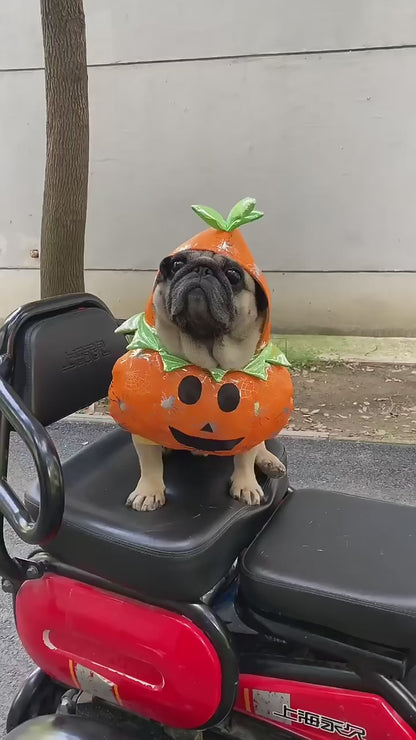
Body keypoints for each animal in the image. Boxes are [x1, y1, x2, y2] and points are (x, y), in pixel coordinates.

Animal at [127, 246, 288, 512]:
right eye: (176, 264)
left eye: (233, 274)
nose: (202, 268)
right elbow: (149, 462)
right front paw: (149, 491)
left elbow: (246, 456)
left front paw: (246, 484)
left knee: (259, 444)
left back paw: (268, 460)